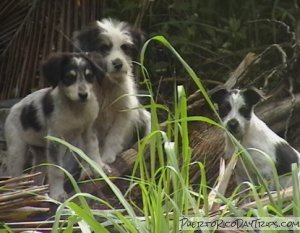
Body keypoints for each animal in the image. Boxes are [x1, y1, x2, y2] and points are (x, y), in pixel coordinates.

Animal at [4, 52, 108, 201]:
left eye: (89, 76)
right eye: (69, 77)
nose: (83, 95)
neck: (75, 110)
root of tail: (13, 108)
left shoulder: (88, 131)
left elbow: (94, 150)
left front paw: (99, 167)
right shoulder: (55, 141)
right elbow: (57, 170)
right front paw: (57, 194)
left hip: (41, 153)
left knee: (37, 175)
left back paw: (37, 194)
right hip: (16, 151)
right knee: (14, 179)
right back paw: (16, 195)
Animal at [74, 18, 151, 163]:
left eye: (125, 47)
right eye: (104, 48)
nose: (118, 64)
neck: (107, 85)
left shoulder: (124, 112)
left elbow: (114, 136)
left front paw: (108, 157)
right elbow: (92, 142)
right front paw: (94, 162)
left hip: (144, 118)